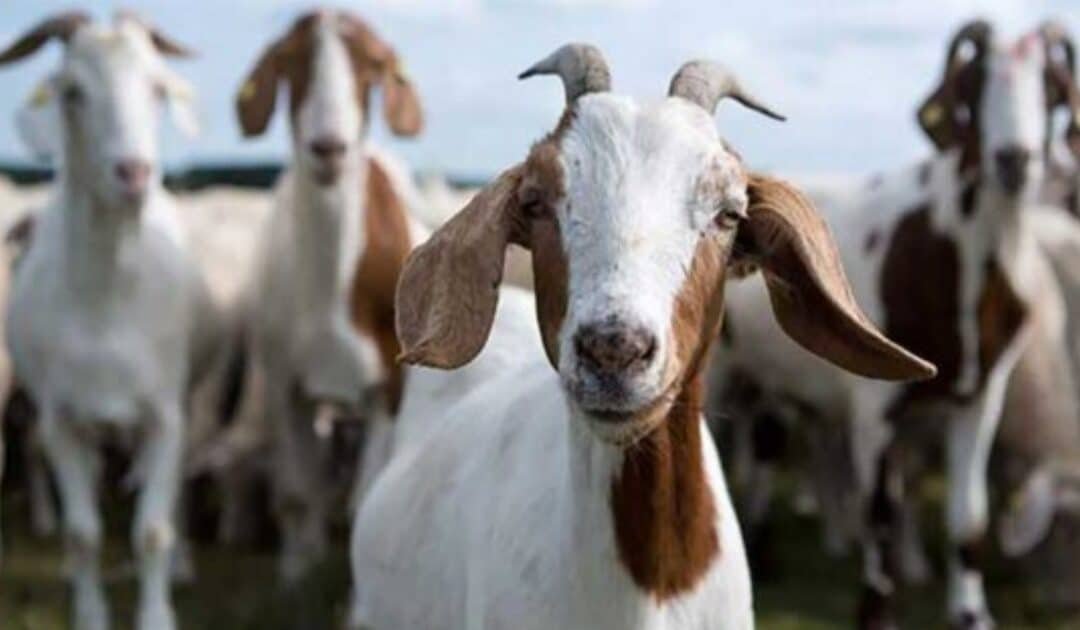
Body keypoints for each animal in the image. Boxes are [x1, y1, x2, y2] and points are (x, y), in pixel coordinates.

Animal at [0, 12, 217, 630]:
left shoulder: (166, 416)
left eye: (158, 89)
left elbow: (152, 530)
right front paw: (91, 611)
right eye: (72, 91)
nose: (134, 172)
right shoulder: (61, 420)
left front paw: (157, 613)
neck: (108, 301)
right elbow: (83, 533)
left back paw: (184, 564)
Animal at [222, 9, 425, 582]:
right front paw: (296, 573)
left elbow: (367, 501)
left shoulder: (389, 388)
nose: (328, 148)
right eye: (287, 60)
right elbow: (296, 492)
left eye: (374, 63)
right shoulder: (285, 381)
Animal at [713, 20, 1080, 629]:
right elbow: (882, 513)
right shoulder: (874, 407)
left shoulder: (981, 398)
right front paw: (876, 613)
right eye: (975, 82)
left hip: (775, 378)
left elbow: (969, 515)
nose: (1014, 159)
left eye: (1050, 86)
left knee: (766, 447)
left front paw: (971, 614)